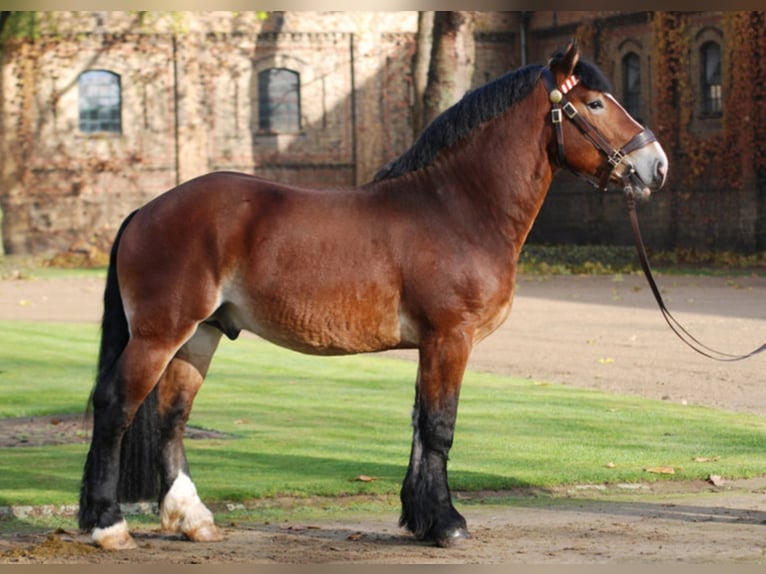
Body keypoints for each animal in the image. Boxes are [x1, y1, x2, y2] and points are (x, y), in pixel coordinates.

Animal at [76, 42, 664, 552]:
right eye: (594, 103)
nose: (655, 166)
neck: (456, 207)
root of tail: (146, 210)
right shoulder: (451, 337)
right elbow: (440, 428)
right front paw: (447, 524)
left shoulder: (432, 344)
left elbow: (421, 428)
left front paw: (422, 519)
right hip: (159, 334)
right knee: (116, 408)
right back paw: (109, 525)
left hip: (201, 334)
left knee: (172, 416)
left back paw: (192, 519)